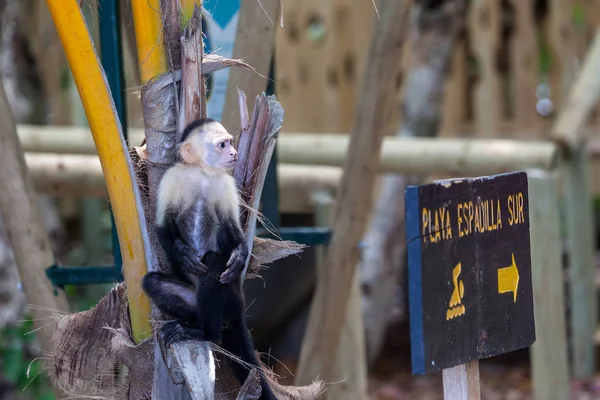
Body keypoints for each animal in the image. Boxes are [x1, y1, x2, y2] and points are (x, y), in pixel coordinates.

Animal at [142, 119, 278, 400]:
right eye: (222, 145)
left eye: (230, 143)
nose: (234, 153)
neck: (202, 174)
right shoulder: (172, 178)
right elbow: (162, 228)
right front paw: (182, 254)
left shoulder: (225, 185)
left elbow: (234, 232)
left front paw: (238, 255)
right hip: (192, 299)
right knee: (154, 283)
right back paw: (192, 325)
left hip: (231, 297)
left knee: (214, 266)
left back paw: (207, 332)